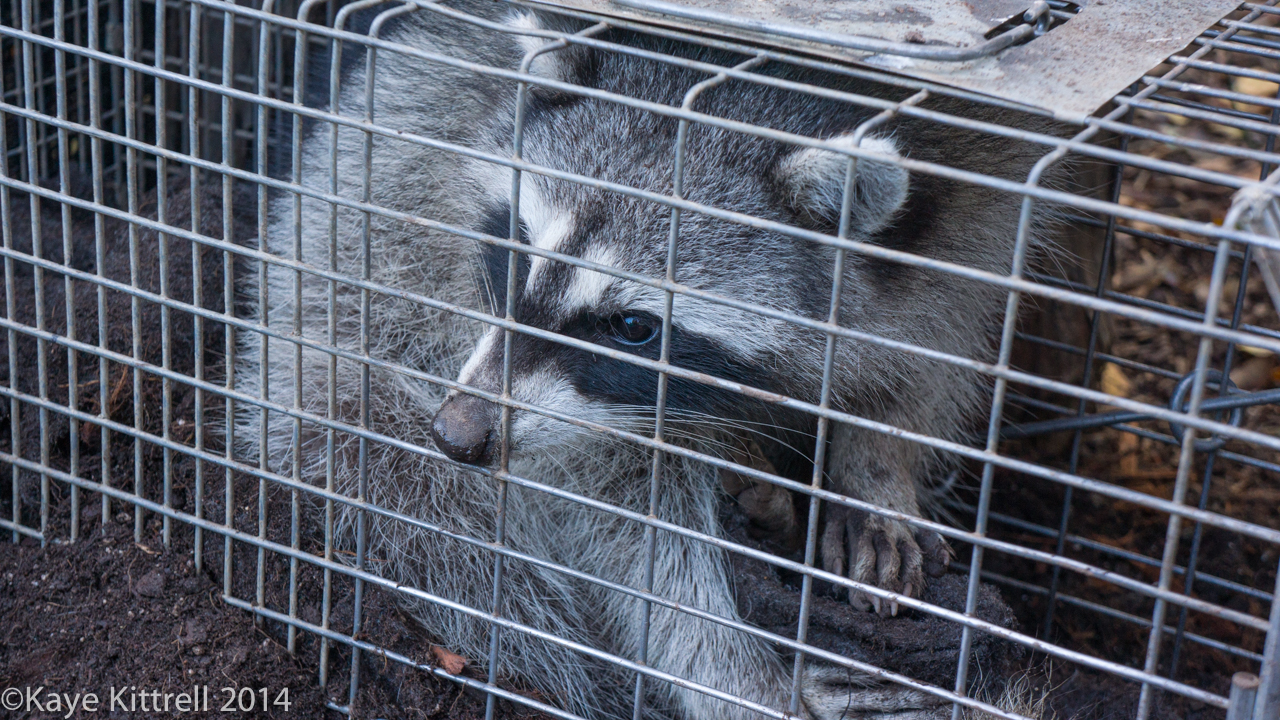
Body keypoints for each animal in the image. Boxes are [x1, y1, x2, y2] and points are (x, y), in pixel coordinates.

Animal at [237, 3, 1061, 718]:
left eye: (633, 325)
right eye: (517, 252)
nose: (459, 434)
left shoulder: (990, 163)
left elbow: (949, 318)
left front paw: (876, 462)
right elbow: (618, 500)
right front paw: (729, 670)